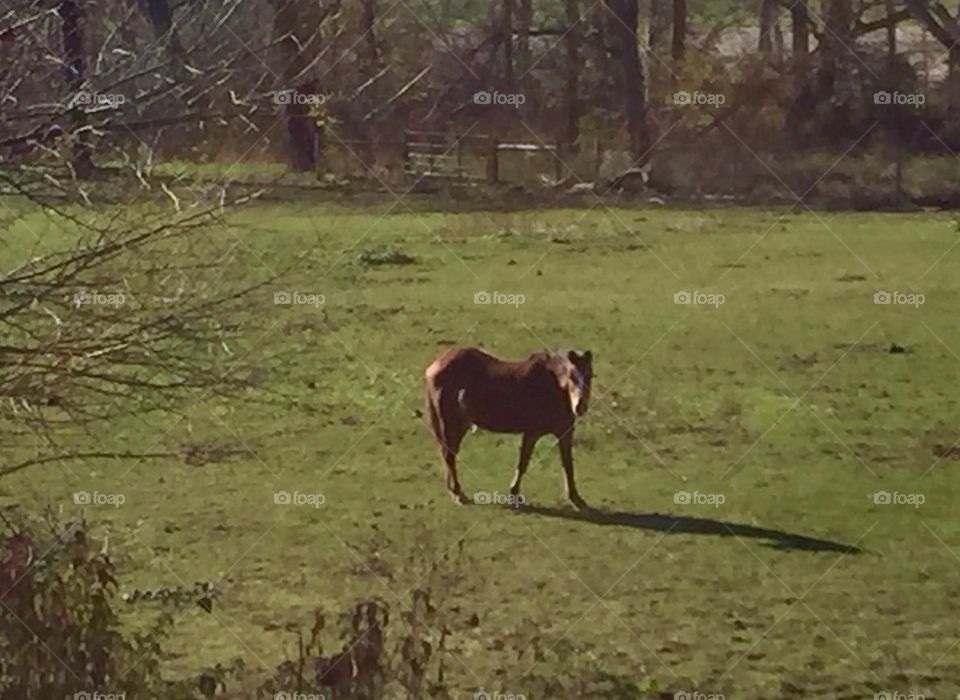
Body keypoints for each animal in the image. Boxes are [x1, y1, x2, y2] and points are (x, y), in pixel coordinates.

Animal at [424, 347, 593, 509]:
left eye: (589, 376)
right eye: (571, 376)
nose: (580, 407)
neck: (553, 385)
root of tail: (434, 366)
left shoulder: (565, 433)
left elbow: (568, 465)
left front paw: (576, 499)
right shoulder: (532, 433)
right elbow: (523, 463)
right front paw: (514, 495)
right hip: (452, 425)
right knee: (449, 455)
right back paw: (459, 494)